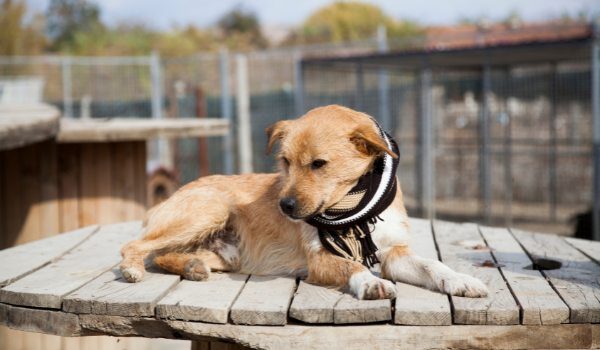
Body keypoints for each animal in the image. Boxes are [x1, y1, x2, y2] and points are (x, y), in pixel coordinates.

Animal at [120, 105, 488, 300]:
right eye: (284, 162)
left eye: (319, 164)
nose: (284, 206)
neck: (352, 210)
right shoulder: (318, 259)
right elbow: (352, 266)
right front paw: (370, 282)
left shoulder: (394, 252)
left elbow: (432, 265)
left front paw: (460, 280)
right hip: (210, 209)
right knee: (135, 247)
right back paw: (133, 268)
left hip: (227, 252)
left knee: (164, 254)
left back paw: (191, 266)